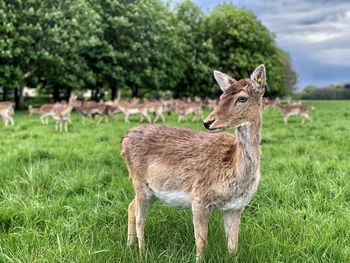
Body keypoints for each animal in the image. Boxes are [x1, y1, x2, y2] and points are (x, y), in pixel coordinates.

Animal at [121, 64, 266, 262]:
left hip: (150, 191)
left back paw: (129, 246)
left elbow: (233, 246)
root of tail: (123, 139)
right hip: (140, 182)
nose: (208, 122)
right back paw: (142, 253)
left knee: (131, 206)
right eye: (221, 96)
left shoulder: (236, 207)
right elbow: (201, 244)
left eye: (242, 98)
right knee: (140, 217)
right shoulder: (199, 199)